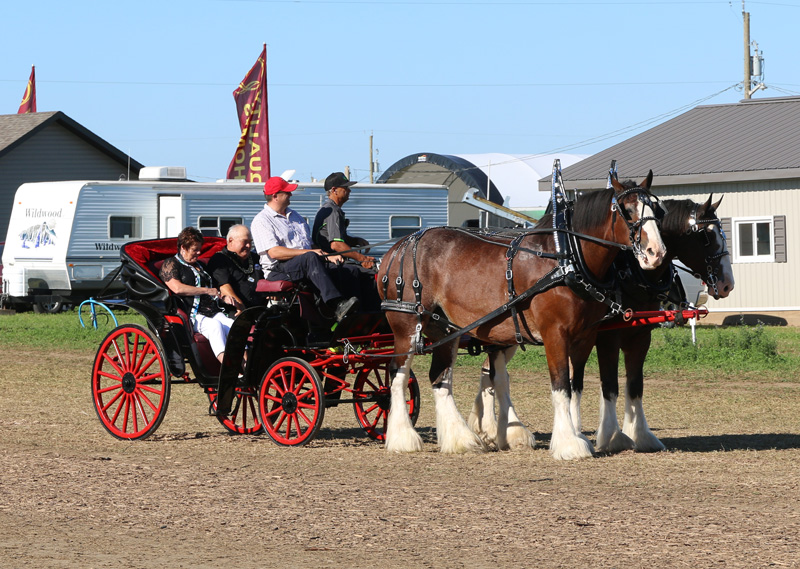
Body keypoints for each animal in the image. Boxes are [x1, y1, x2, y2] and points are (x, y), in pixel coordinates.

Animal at [378, 172, 664, 458]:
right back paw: (403, 437)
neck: (567, 258)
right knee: (398, 374)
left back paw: (460, 439)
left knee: (440, 378)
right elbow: (561, 385)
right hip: (407, 327)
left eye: (658, 210)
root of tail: (398, 247)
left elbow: (575, 386)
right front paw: (569, 444)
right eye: (626, 210)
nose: (656, 253)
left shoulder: (585, 336)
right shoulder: (555, 334)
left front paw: (578, 434)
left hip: (445, 330)